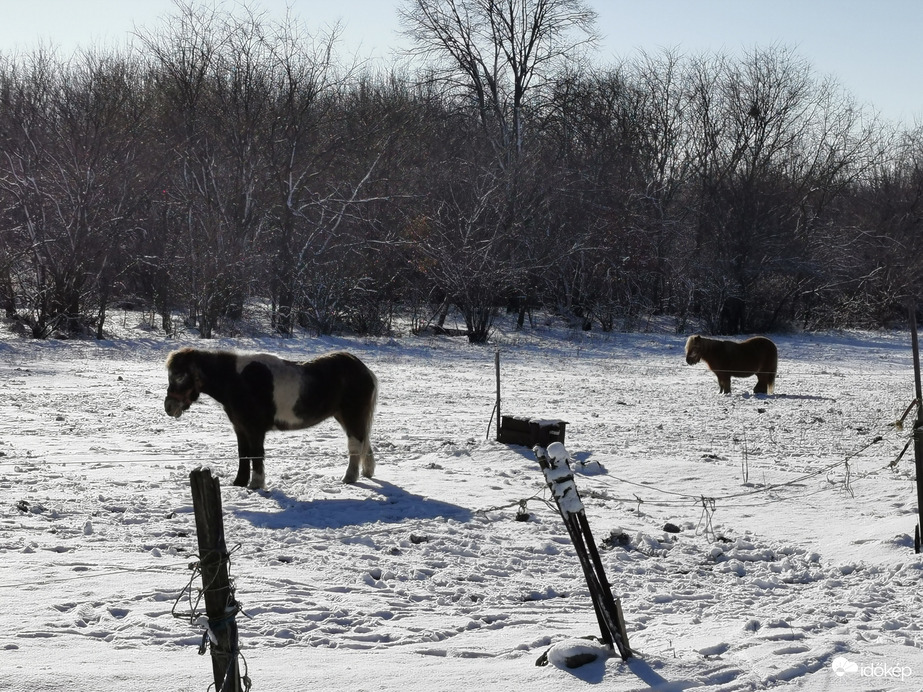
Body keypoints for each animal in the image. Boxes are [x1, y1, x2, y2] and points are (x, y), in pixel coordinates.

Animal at [166, 348, 378, 490]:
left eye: (180, 376)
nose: (169, 407)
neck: (238, 381)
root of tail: (364, 370)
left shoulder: (254, 430)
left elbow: (256, 454)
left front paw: (256, 484)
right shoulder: (240, 428)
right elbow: (243, 454)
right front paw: (239, 482)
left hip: (352, 415)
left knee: (355, 444)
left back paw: (349, 477)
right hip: (346, 417)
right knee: (364, 442)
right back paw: (366, 473)